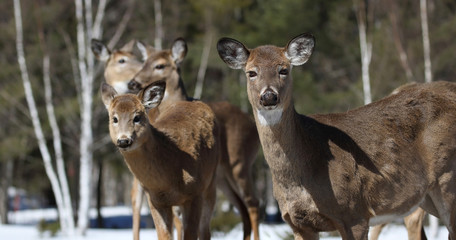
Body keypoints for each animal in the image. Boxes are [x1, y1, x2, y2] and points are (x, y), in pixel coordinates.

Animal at [101, 81, 219, 239]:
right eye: (114, 118)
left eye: (137, 117)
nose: (124, 140)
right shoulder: (155, 200)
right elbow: (164, 235)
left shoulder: (195, 193)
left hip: (211, 182)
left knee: (205, 231)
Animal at [128, 38, 262, 240]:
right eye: (143, 63)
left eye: (160, 65)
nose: (133, 83)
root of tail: (252, 124)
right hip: (220, 176)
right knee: (241, 207)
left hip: (240, 162)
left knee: (252, 203)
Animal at [216, 32, 456, 240]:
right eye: (251, 72)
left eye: (284, 70)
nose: (268, 96)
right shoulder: (298, 223)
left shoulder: (354, 213)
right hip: (427, 196)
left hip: (448, 178)